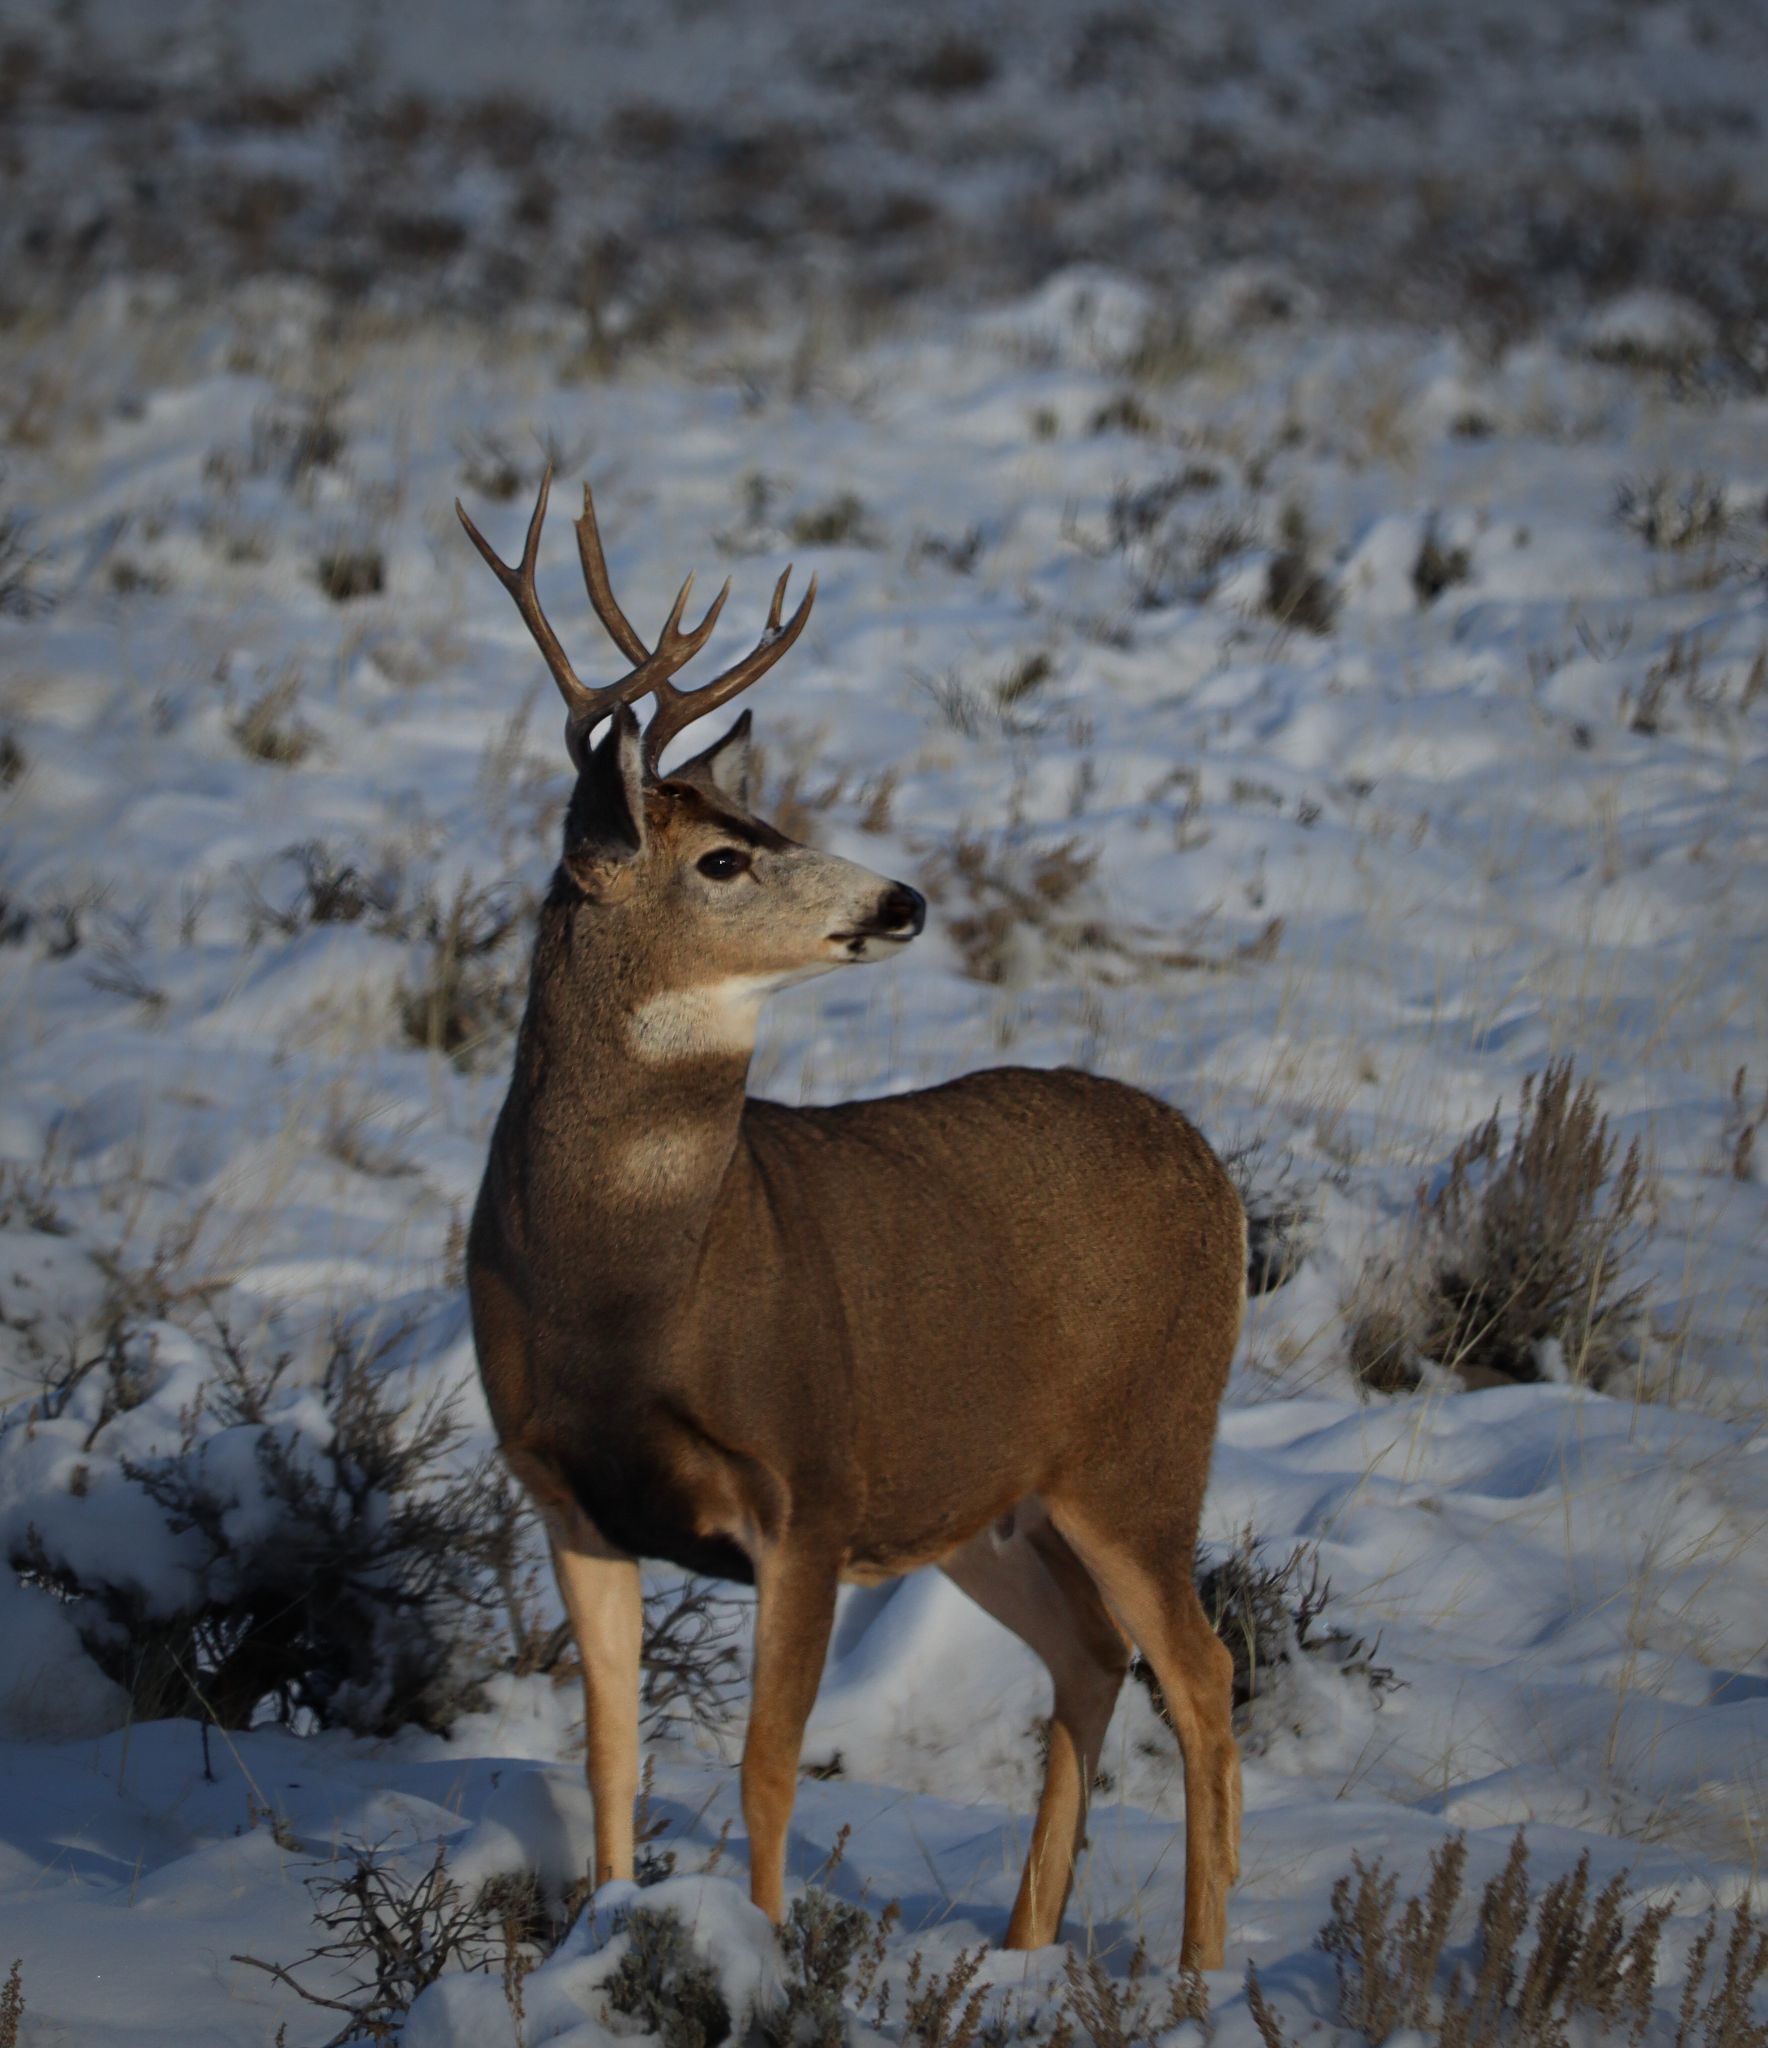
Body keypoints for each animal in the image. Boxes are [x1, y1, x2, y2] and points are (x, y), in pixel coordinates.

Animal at [457, 470, 1247, 1969]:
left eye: (765, 828)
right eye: (723, 857)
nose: (903, 897)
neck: (631, 1293)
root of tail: (1222, 1178)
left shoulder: (809, 1483)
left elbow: (767, 1764)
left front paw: (761, 1952)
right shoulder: (566, 1496)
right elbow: (610, 1753)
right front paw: (605, 1932)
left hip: (1143, 1452)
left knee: (1204, 1674)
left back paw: (1194, 1978)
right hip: (993, 1498)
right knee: (1093, 1655)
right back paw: (1023, 1950)